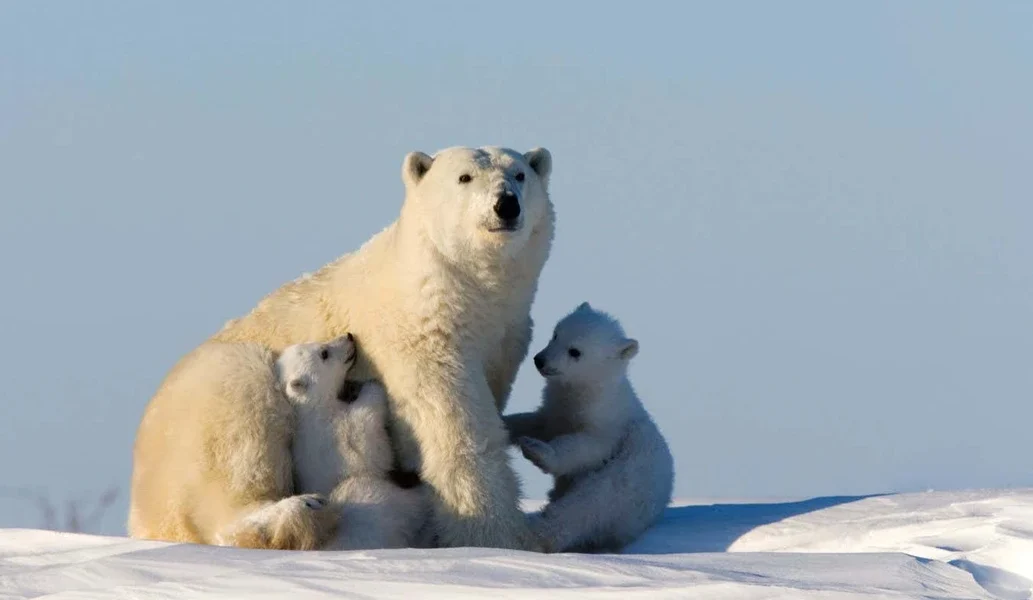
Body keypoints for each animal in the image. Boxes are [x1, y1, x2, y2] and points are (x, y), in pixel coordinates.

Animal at [276, 334, 425, 549]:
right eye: (324, 353)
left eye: (316, 342)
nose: (348, 336)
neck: (316, 407)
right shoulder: (335, 432)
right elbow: (367, 439)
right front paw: (373, 386)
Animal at [502, 303, 677, 553]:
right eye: (556, 334)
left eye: (575, 351)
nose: (540, 360)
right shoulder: (555, 412)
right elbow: (536, 422)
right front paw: (504, 423)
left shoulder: (608, 428)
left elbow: (584, 448)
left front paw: (537, 450)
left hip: (620, 490)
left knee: (581, 510)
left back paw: (537, 534)